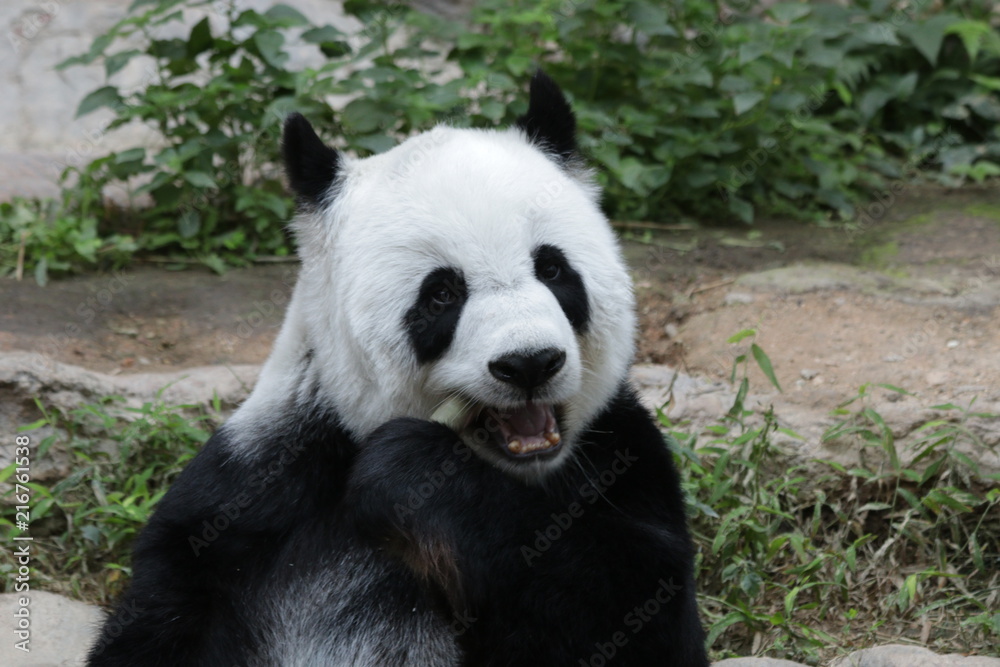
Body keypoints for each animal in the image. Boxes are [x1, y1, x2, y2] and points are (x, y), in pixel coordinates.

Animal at [88, 73, 712, 667]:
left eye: (554, 269)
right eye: (441, 294)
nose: (529, 363)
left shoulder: (621, 457)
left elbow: (634, 612)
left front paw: (412, 470)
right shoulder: (250, 495)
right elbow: (160, 615)